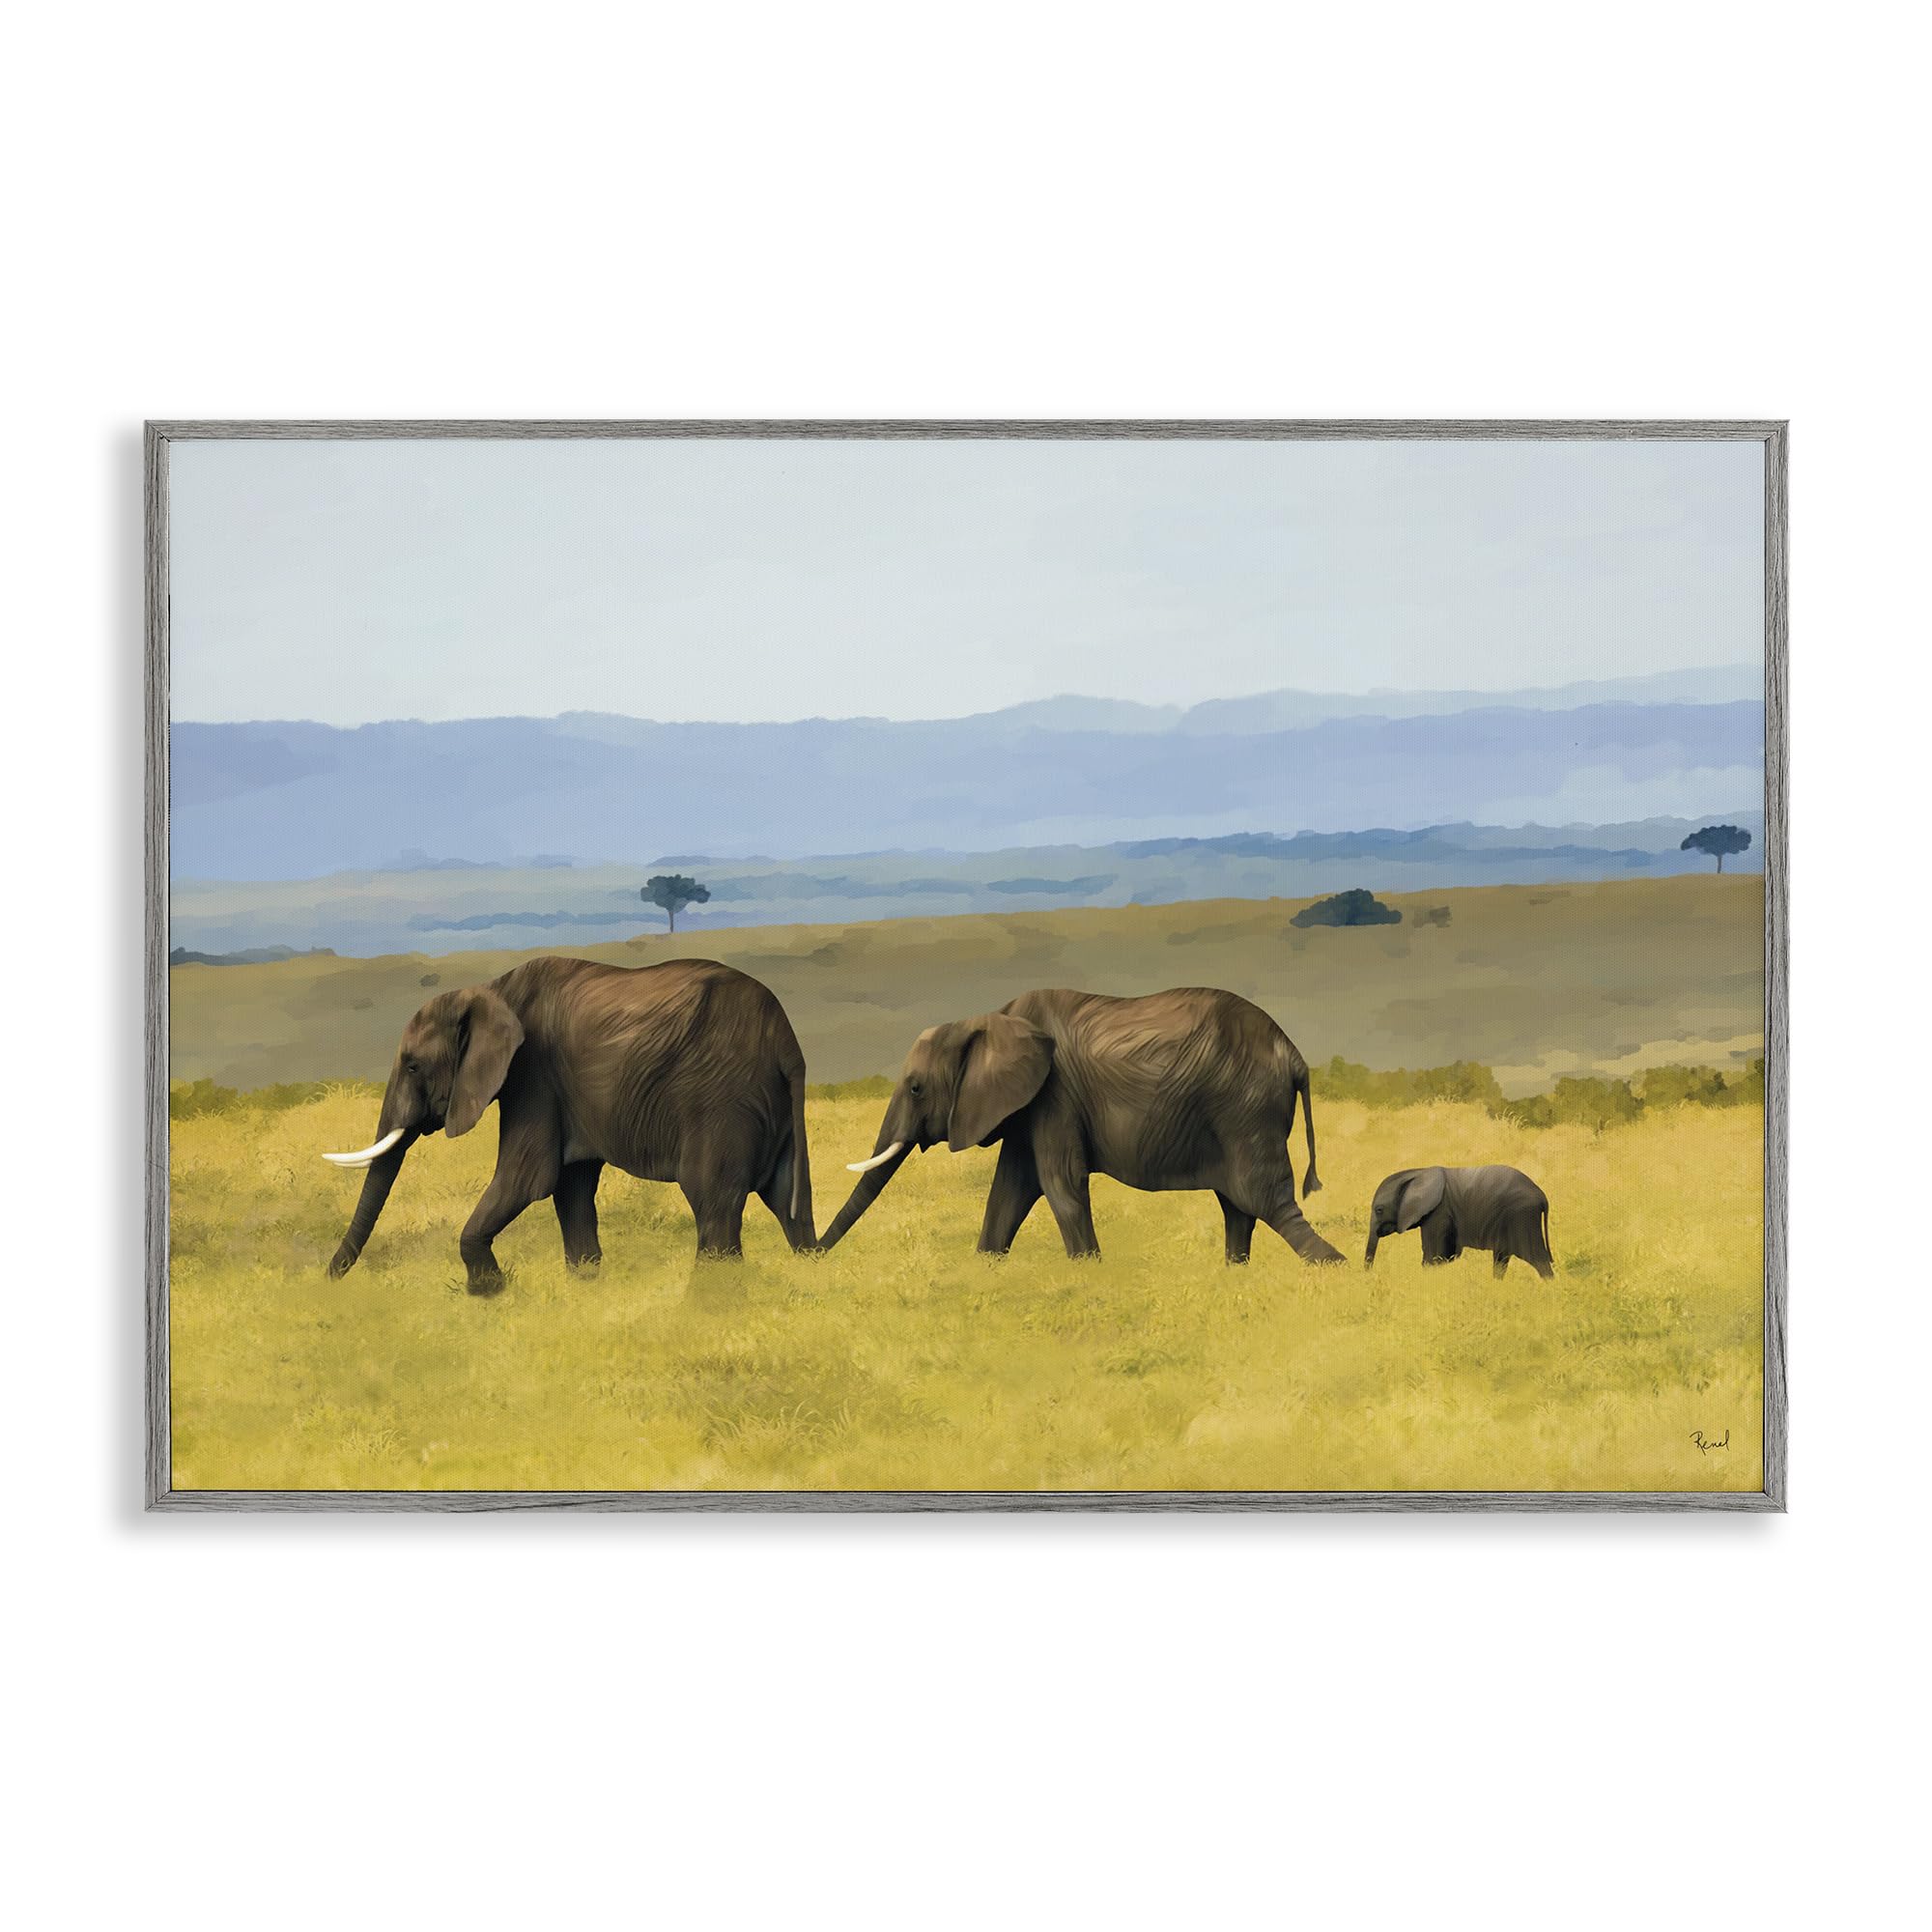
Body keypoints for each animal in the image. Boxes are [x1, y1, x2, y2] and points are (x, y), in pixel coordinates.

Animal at [323, 957, 813, 1290]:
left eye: (411, 1066)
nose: (327, 1280)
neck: (492, 990)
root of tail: (786, 1042)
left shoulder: (533, 1075)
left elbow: (528, 1177)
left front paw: (489, 1294)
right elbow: (570, 1187)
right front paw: (585, 1288)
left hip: (720, 1101)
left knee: (713, 1201)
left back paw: (709, 1302)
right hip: (770, 1107)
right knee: (788, 1202)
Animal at [816, 986, 1343, 1265]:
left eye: (916, 1088)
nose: (810, 1253)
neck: (989, 1018)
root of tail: (1294, 1055)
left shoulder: (1056, 1097)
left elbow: (1059, 1184)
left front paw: (1090, 1270)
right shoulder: (1028, 1107)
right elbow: (1008, 1191)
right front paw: (985, 1266)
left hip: (1246, 1109)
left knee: (1265, 1201)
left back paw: (1335, 1270)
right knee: (1239, 1207)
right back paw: (1234, 1273)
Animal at [1363, 1165, 1554, 1278]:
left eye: (1379, 1210)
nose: (1370, 1276)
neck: (1418, 1172)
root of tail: (1542, 1196)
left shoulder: (1439, 1211)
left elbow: (1434, 1256)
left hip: (1521, 1216)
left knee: (1537, 1258)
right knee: (1501, 1258)